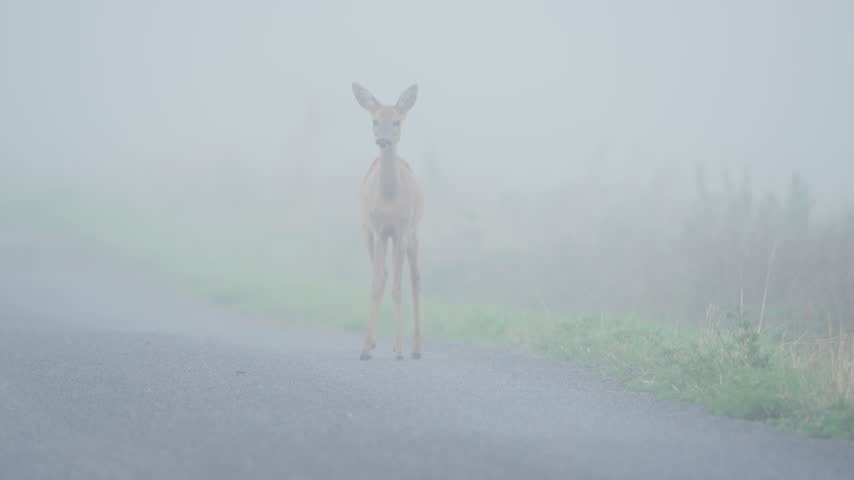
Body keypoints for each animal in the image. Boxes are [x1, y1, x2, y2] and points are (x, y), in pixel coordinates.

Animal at [351, 82, 423, 361]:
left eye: (396, 121)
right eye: (374, 120)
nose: (383, 139)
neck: (389, 200)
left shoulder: (401, 229)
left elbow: (397, 287)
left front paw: (400, 349)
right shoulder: (377, 228)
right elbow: (377, 283)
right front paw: (364, 348)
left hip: (414, 233)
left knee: (415, 280)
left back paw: (415, 349)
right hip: (369, 235)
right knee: (383, 274)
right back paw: (375, 344)